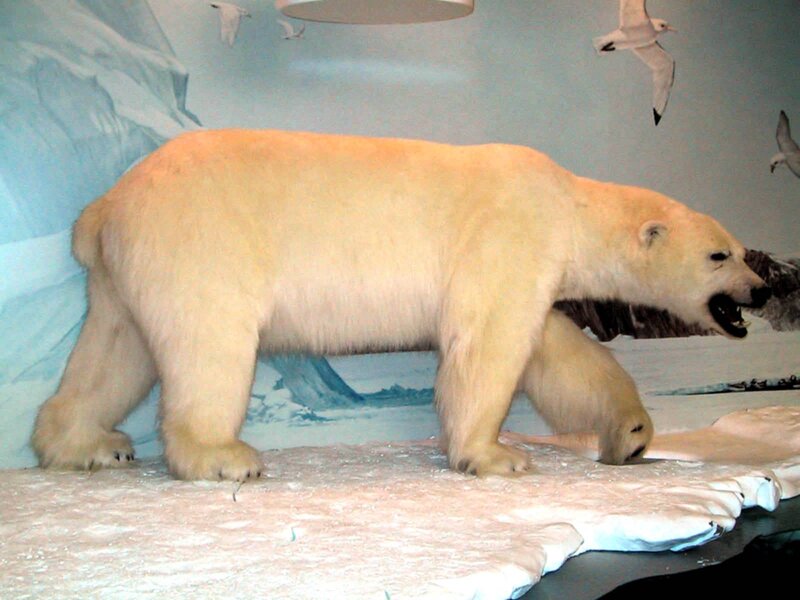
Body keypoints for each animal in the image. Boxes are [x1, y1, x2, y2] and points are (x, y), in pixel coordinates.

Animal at [31, 129, 771, 480]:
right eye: (719, 256)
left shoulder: (530, 265)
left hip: (126, 274)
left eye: (741, 250)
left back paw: (87, 444)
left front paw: (632, 433)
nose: (762, 290)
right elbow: (489, 344)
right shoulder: (510, 234)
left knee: (114, 351)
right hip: (200, 244)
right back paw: (222, 455)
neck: (568, 203)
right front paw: (495, 456)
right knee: (207, 345)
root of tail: (105, 206)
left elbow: (554, 354)